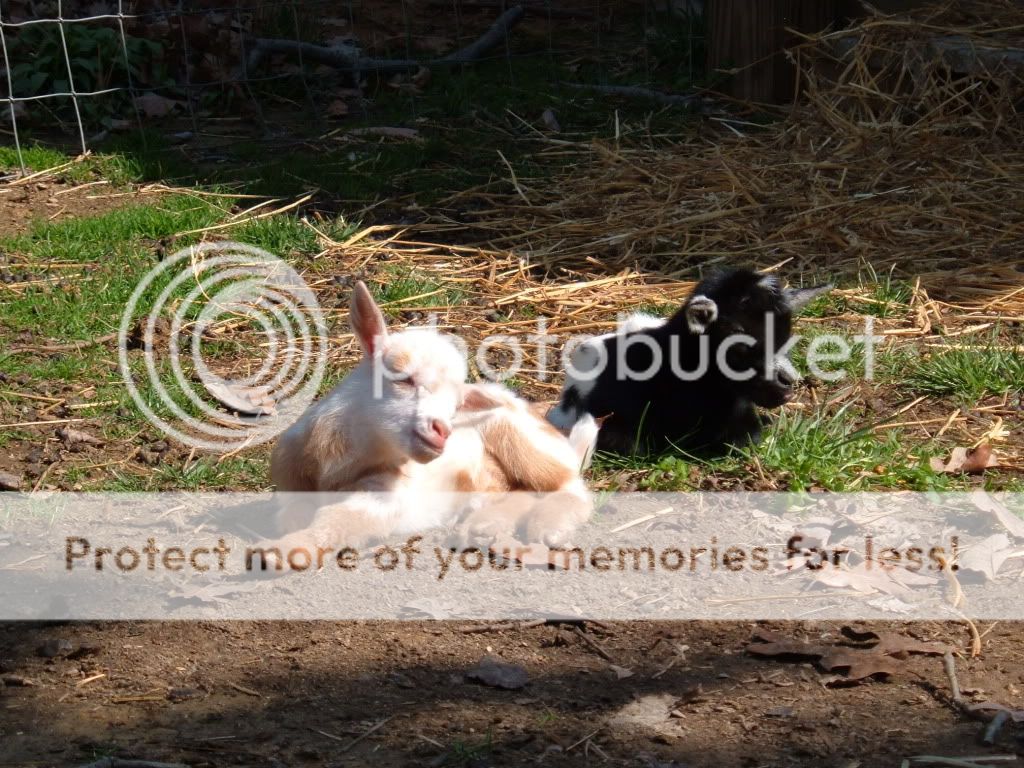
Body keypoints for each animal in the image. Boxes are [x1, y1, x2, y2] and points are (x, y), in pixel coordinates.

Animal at [268, 281, 598, 555]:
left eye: (455, 407)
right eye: (403, 377)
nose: (442, 431)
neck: (335, 466)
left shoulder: (385, 494)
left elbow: (337, 519)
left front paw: (284, 552)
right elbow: (291, 511)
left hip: (524, 439)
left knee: (571, 486)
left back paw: (548, 528)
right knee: (522, 490)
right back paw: (483, 526)